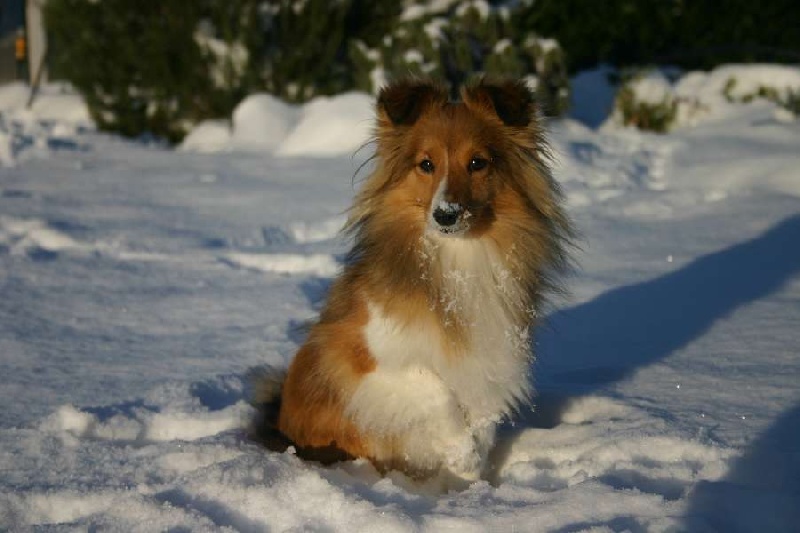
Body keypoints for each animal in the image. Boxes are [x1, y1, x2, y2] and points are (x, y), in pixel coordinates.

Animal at [253, 76, 572, 486]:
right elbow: (433, 386)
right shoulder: (361, 360)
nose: (446, 215)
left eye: (477, 163)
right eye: (426, 164)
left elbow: (482, 417)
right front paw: (464, 457)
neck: (458, 260)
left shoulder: (492, 355)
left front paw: (472, 478)